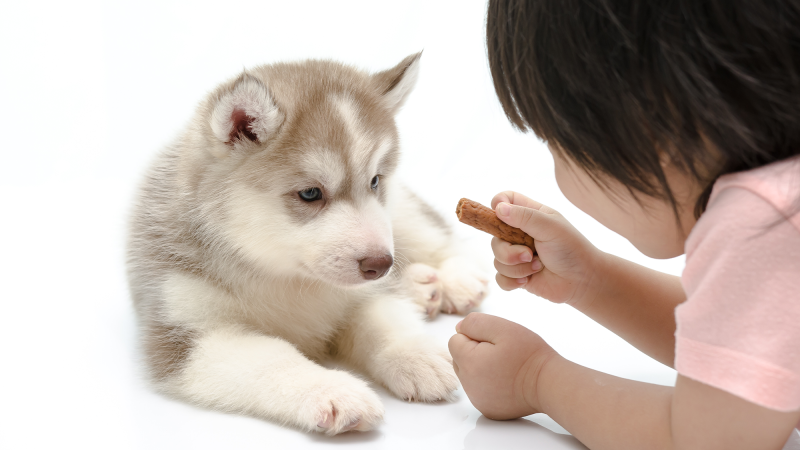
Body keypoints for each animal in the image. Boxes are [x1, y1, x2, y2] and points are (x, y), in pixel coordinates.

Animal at [126, 53, 488, 436]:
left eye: (375, 181)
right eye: (311, 193)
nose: (380, 265)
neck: (283, 275)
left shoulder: (365, 293)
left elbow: (383, 322)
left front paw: (417, 354)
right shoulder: (187, 333)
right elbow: (271, 358)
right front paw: (331, 390)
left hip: (400, 213)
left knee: (436, 234)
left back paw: (456, 279)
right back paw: (420, 286)